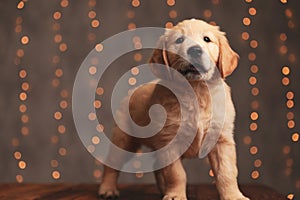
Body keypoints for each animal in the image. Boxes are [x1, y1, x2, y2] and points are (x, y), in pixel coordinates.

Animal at [98, 19, 248, 200]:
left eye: (207, 39)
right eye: (179, 40)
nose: (195, 50)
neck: (196, 91)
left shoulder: (221, 140)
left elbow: (226, 172)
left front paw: (234, 195)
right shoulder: (169, 141)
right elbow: (176, 174)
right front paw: (176, 195)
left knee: (157, 165)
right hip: (124, 139)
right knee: (111, 165)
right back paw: (107, 189)